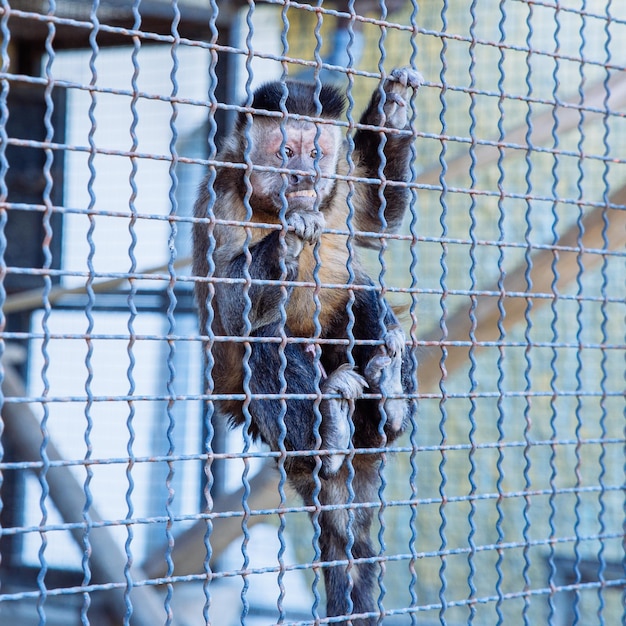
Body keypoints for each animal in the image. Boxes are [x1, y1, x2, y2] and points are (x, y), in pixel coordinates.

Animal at [193, 66, 422, 620]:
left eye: (314, 152)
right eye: (285, 152)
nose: (303, 178)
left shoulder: (337, 185)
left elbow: (375, 221)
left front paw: (395, 110)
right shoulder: (221, 193)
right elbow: (230, 304)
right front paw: (289, 239)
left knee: (360, 295)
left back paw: (388, 397)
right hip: (246, 409)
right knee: (262, 343)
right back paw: (327, 438)